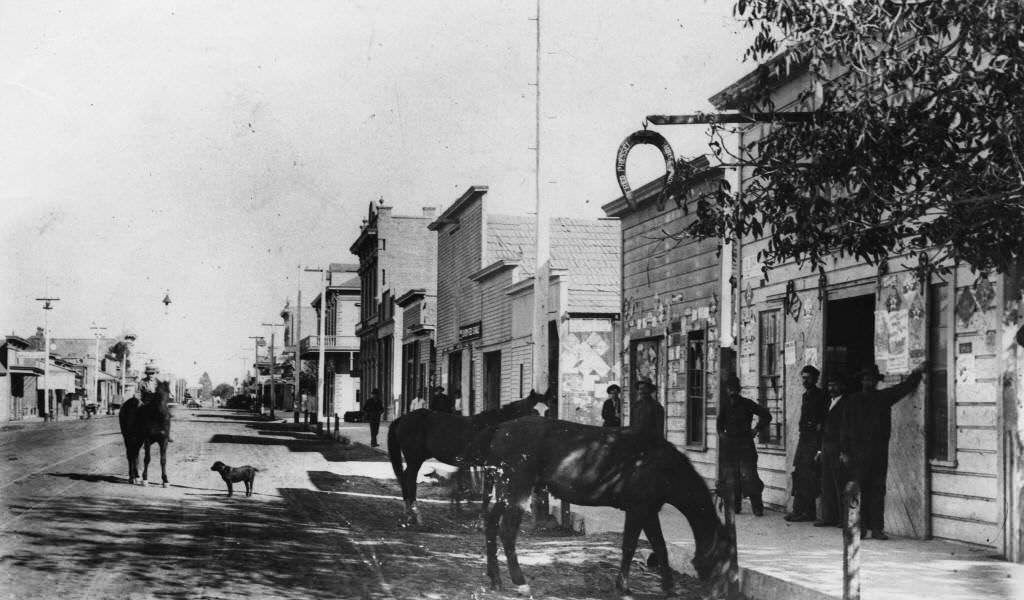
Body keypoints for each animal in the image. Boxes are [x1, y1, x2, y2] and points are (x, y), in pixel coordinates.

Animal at [387, 387, 548, 524]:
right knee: (410, 481)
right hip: (414, 459)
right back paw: (416, 516)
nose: (543, 432)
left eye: (547, 411)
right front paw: (481, 523)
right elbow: (488, 494)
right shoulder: (491, 467)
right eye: (533, 411)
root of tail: (402, 419)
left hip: (415, 459)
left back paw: (408, 513)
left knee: (405, 478)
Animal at [464, 413, 737, 593]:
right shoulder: (639, 509)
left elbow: (659, 546)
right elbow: (631, 546)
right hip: (517, 488)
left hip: (504, 490)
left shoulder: (648, 510)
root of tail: (498, 429)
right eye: (724, 554)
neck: (662, 465)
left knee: (491, 523)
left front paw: (668, 587)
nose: (724, 591)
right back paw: (519, 581)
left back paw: (495, 578)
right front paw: (624, 586)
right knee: (507, 530)